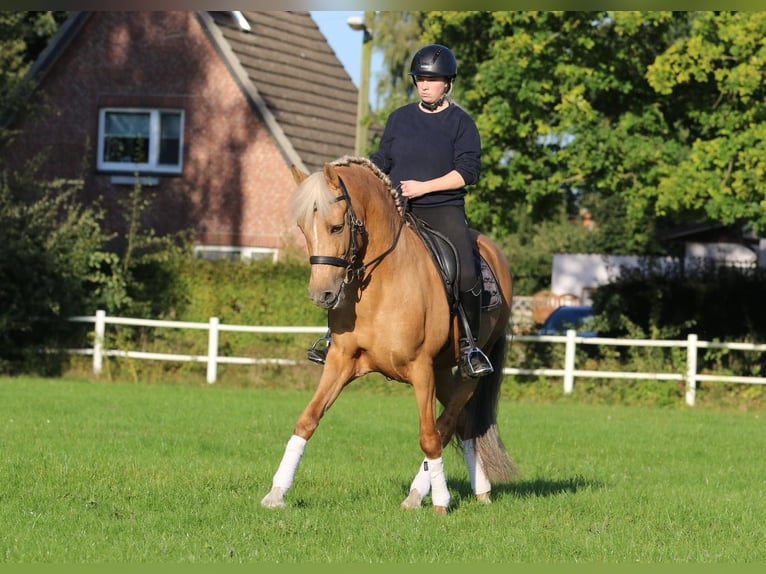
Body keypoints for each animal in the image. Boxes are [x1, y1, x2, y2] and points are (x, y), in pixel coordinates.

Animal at [260, 156, 518, 514]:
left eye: (336, 227)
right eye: (302, 228)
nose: (320, 295)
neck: (381, 283)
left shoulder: (420, 369)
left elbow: (428, 436)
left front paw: (440, 502)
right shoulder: (342, 361)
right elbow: (307, 420)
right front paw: (277, 493)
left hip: (470, 369)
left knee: (446, 424)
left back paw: (422, 493)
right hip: (441, 369)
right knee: (461, 422)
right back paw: (479, 490)